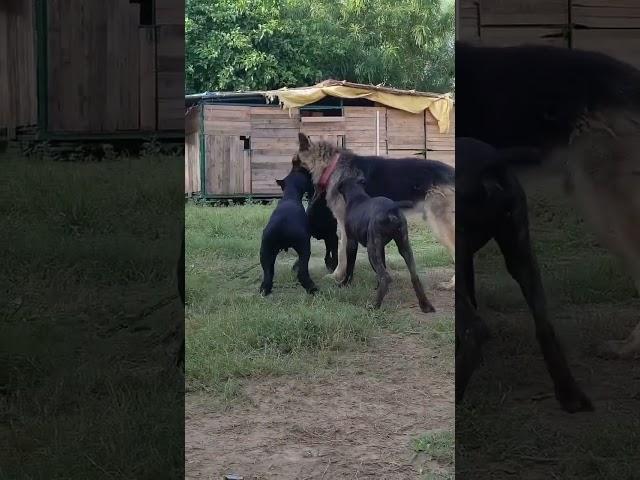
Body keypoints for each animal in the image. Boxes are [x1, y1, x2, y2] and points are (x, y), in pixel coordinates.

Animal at [260, 163, 318, 294]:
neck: (290, 195)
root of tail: (282, 227)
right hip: (304, 249)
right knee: (302, 272)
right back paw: (312, 288)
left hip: (266, 251)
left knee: (268, 273)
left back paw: (265, 289)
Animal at [336, 174, 436, 314]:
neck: (357, 196)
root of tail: (391, 209)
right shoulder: (381, 247)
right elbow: (382, 265)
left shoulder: (351, 243)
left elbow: (350, 267)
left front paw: (345, 283)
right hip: (404, 247)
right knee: (414, 276)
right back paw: (425, 305)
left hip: (371, 250)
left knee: (385, 277)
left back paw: (375, 305)